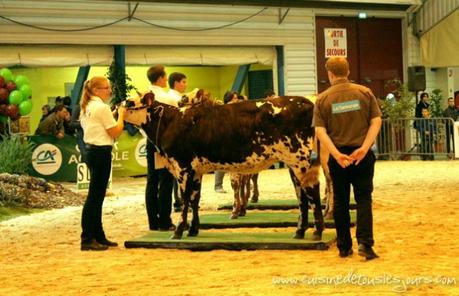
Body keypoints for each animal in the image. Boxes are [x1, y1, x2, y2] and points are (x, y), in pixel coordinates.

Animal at [122, 91, 324, 239]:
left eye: (130, 102)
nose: (116, 107)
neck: (171, 121)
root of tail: (305, 102)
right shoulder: (196, 171)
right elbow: (195, 199)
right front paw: (193, 230)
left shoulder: (182, 168)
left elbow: (186, 200)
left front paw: (178, 231)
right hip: (294, 164)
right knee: (301, 195)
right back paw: (299, 231)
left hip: (300, 160)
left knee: (312, 191)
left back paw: (317, 231)